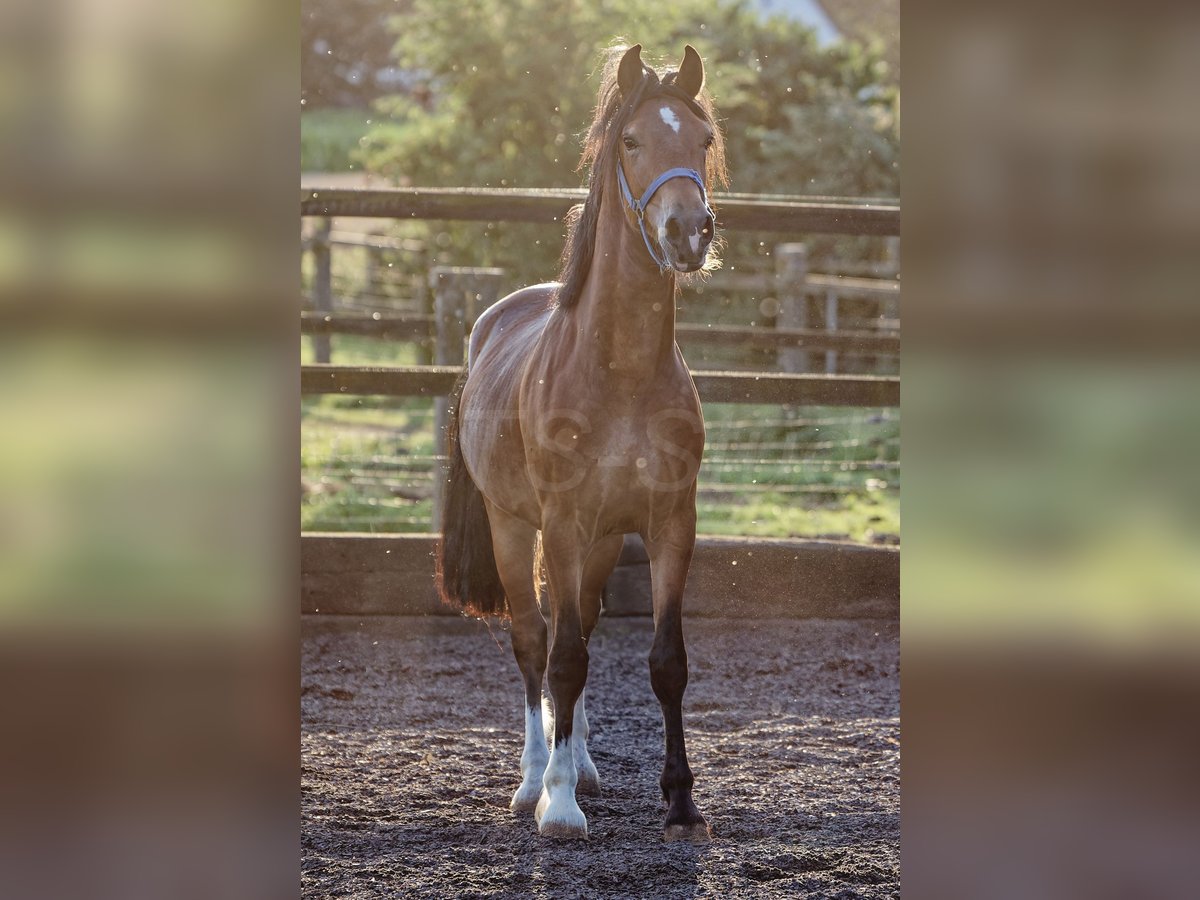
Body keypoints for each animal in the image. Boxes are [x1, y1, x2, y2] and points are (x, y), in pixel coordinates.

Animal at [436, 44, 724, 844]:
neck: (620, 368)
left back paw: (583, 763)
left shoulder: (668, 523)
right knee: (536, 640)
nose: (688, 231)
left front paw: (680, 803)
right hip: (514, 528)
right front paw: (557, 806)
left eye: (703, 140)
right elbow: (560, 658)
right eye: (631, 141)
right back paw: (536, 777)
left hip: (598, 543)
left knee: (582, 628)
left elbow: (664, 661)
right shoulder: (560, 523)